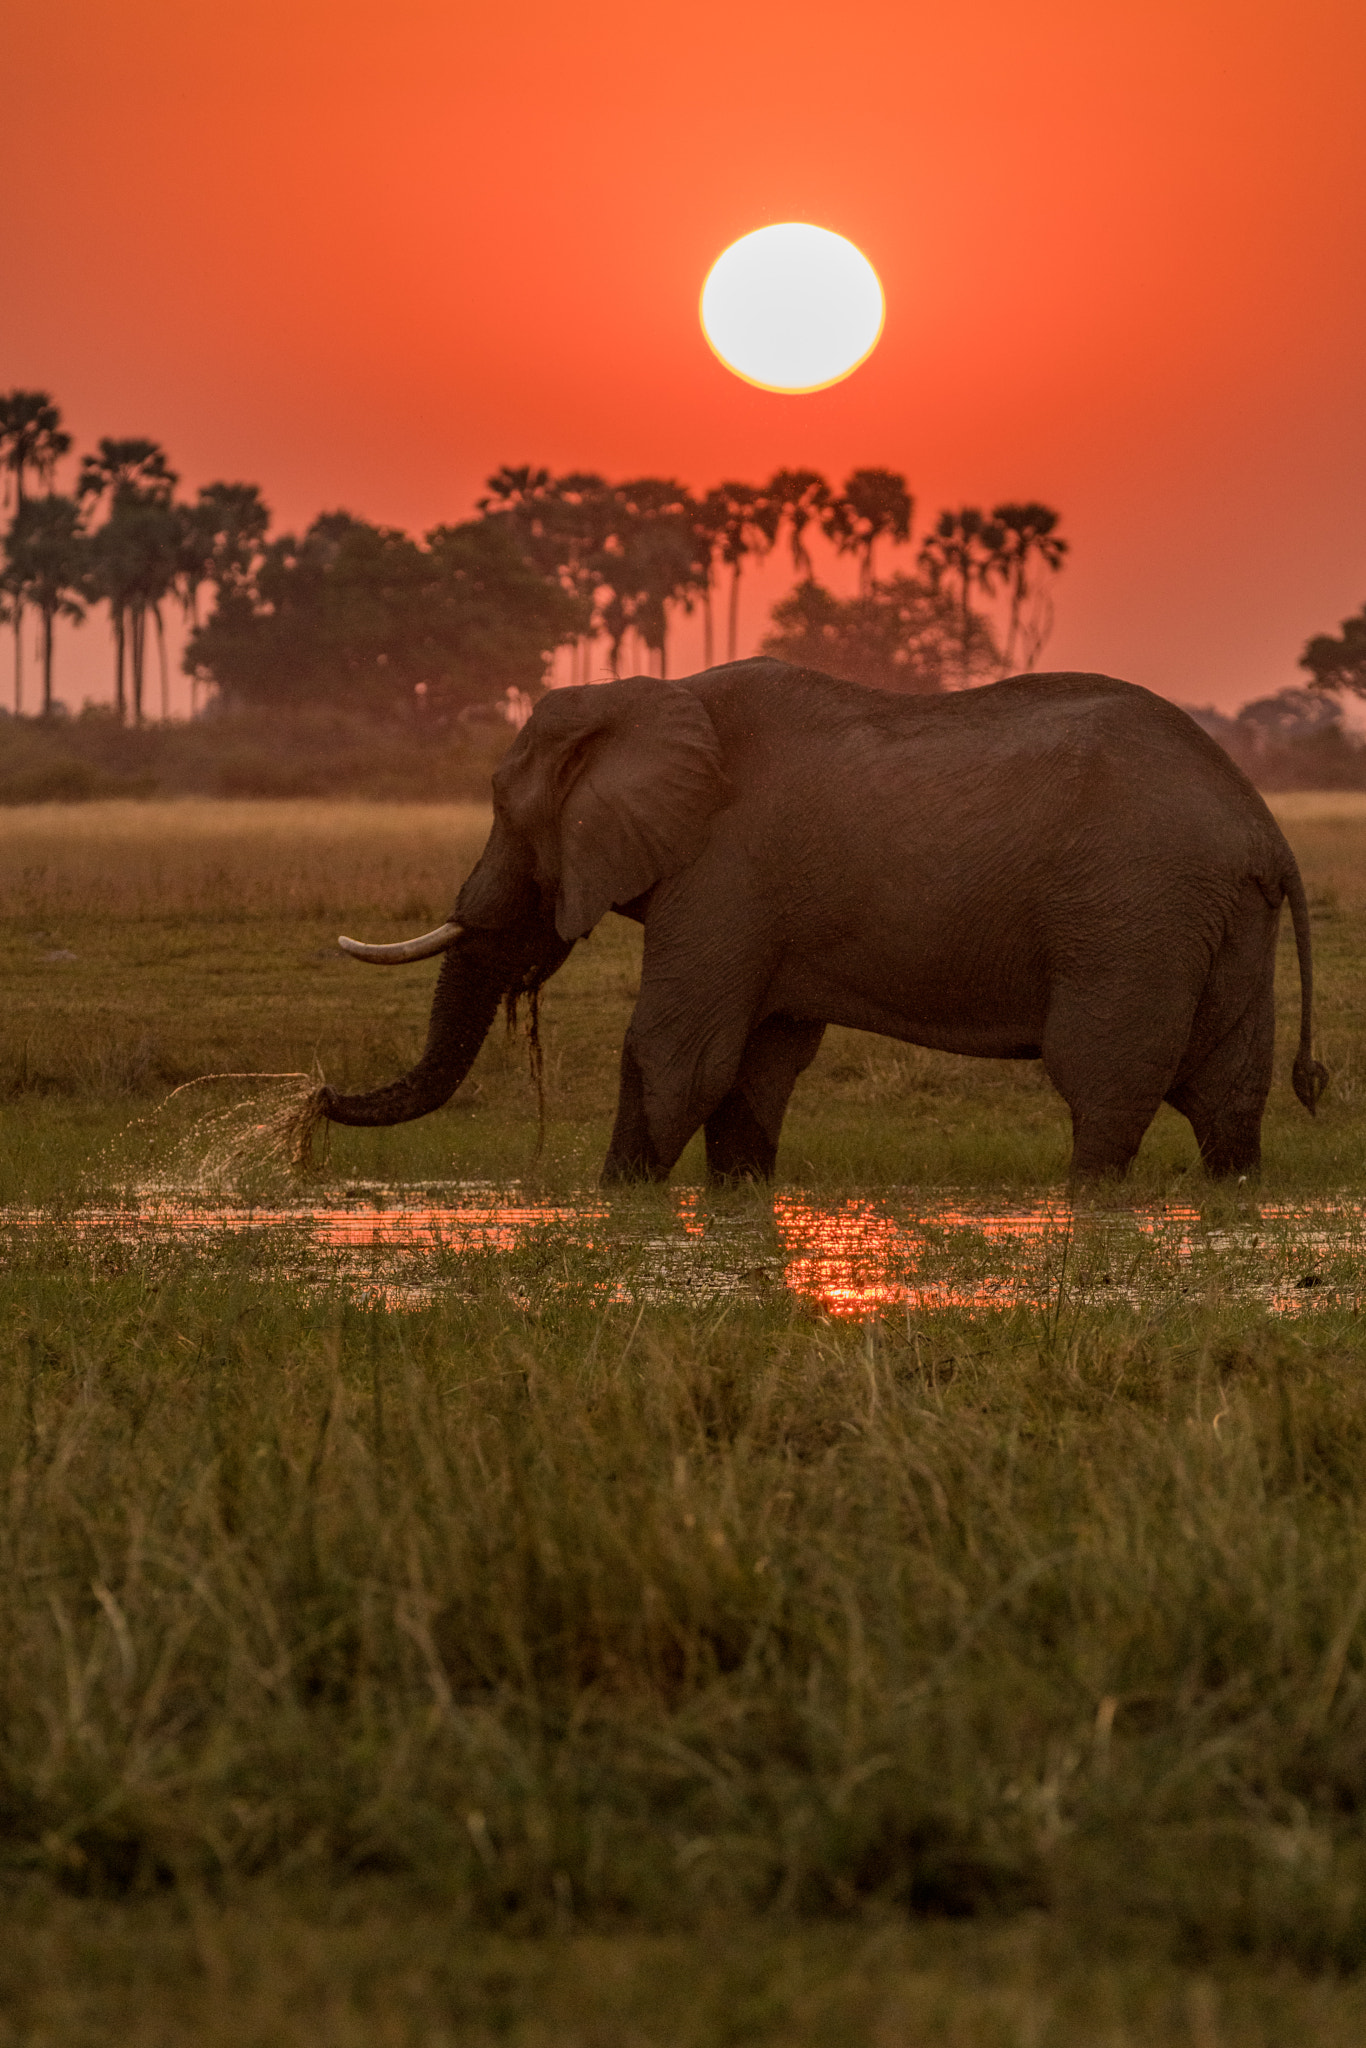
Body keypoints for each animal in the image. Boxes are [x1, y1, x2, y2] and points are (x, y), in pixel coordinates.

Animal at [317, 659, 1327, 1187]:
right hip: (1218, 917)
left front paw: (616, 1210)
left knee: (1106, 1081)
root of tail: (1262, 824)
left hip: (1133, 912)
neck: (652, 694)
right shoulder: (761, 908)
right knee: (1226, 1093)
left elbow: (676, 1055)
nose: (317, 1097)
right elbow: (756, 1069)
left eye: (504, 810)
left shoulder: (726, 873)